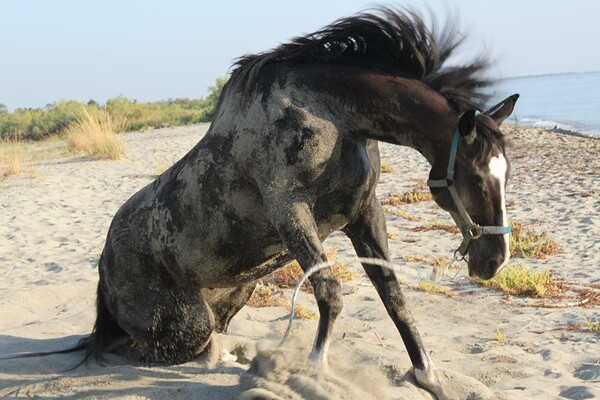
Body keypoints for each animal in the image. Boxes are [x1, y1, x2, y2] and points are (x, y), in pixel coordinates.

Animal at [83, 7, 516, 398]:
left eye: (505, 174)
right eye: (476, 179)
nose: (494, 260)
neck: (332, 117)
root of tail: (105, 261)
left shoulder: (364, 214)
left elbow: (394, 297)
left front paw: (429, 377)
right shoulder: (289, 212)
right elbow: (330, 292)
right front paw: (313, 372)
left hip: (238, 293)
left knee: (206, 338)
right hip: (186, 323)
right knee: (154, 349)